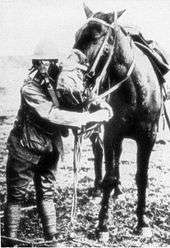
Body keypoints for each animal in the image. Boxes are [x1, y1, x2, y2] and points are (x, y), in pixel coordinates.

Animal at [72, 4, 163, 236]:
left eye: (96, 37)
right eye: (77, 35)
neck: (135, 91)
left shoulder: (148, 137)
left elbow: (142, 177)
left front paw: (141, 222)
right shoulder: (111, 133)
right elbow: (109, 176)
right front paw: (102, 224)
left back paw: (119, 190)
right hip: (96, 129)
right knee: (99, 153)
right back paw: (97, 188)